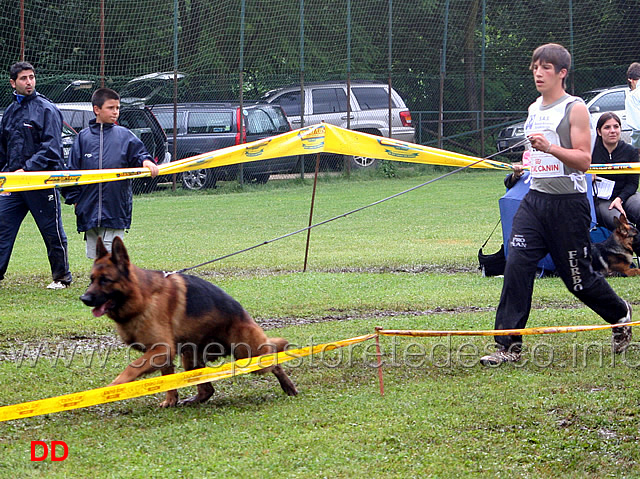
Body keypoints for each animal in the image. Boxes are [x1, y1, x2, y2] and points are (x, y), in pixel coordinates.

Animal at [80, 238, 298, 406]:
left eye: (105, 280)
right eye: (91, 279)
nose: (84, 298)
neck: (141, 296)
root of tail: (245, 316)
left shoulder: (161, 349)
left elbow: (132, 367)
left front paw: (112, 388)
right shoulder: (163, 352)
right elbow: (168, 378)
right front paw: (171, 400)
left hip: (247, 354)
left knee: (273, 360)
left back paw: (288, 386)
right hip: (190, 355)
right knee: (207, 389)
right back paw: (194, 401)